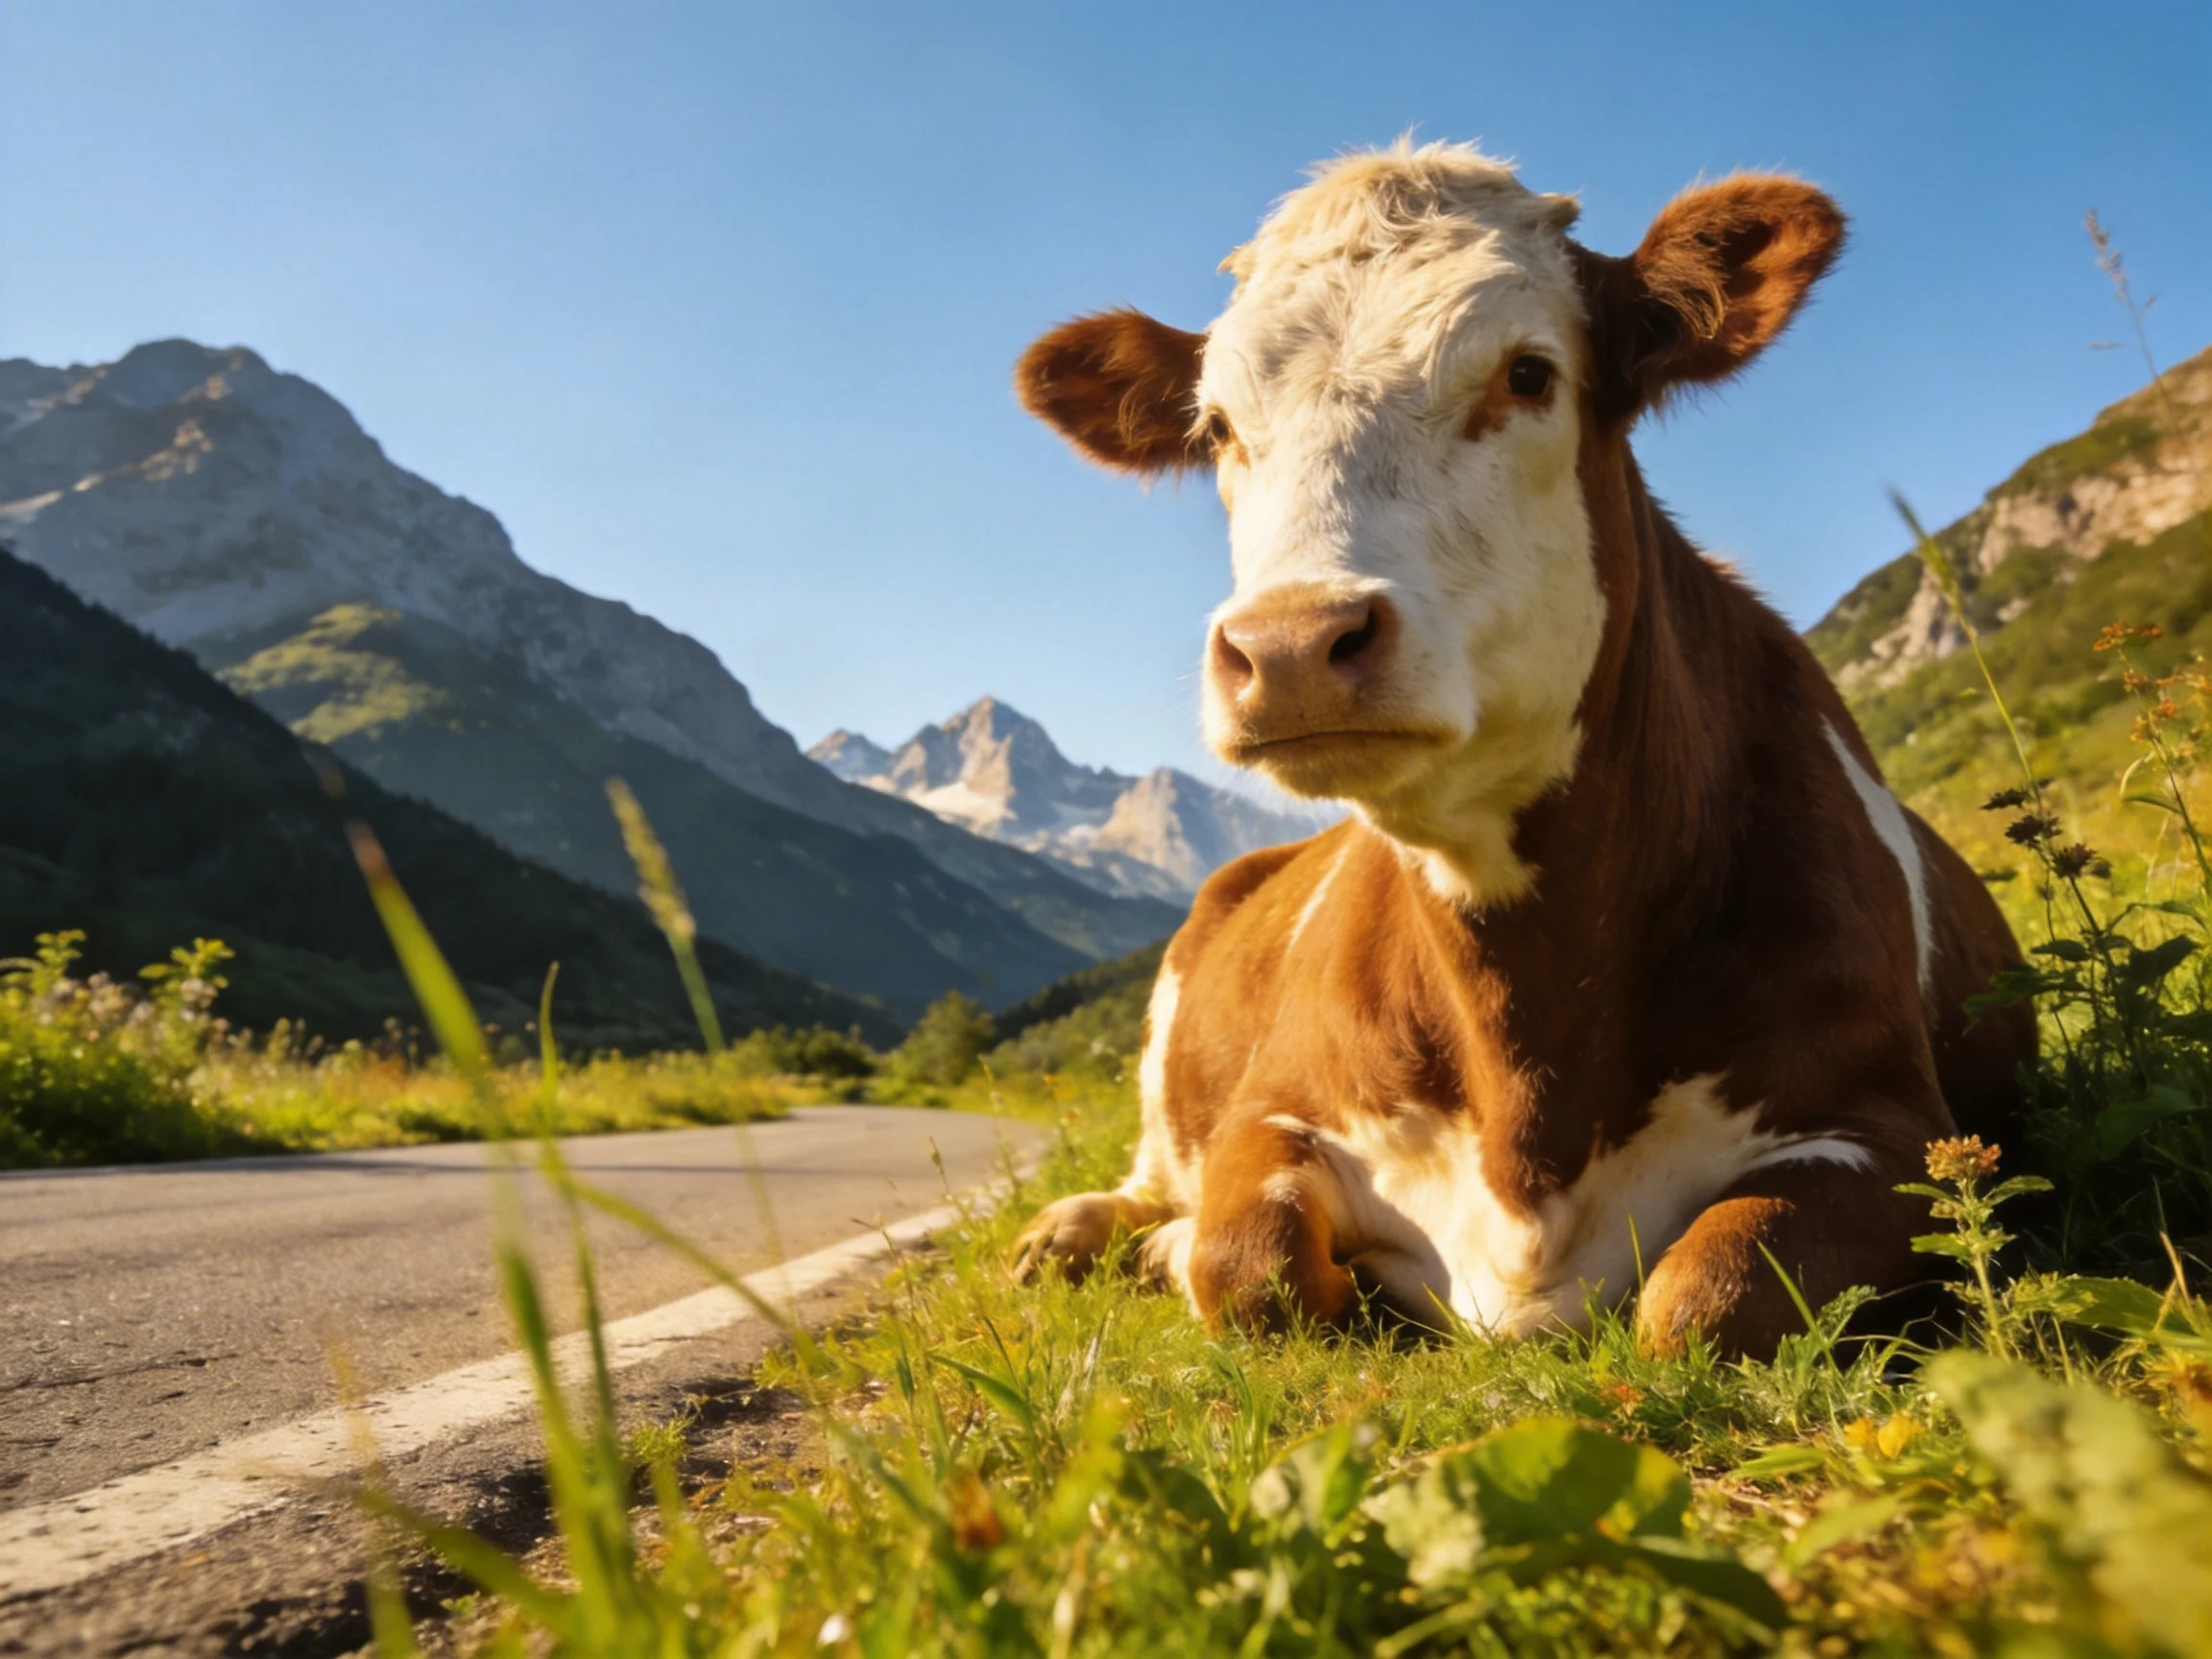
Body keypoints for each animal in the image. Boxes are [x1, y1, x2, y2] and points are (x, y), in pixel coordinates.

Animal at [1007, 142, 2034, 1359]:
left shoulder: (1899, 1131)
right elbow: (1245, 1259)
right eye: (1216, 427)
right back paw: (1070, 1229)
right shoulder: (1277, 1103)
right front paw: (1174, 1252)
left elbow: (1705, 1291)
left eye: (1529, 374)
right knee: (1154, 1179)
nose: (1292, 644)